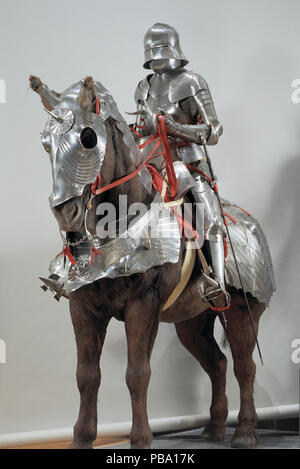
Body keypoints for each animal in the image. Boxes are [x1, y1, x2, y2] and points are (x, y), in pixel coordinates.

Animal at [29, 75, 276, 448]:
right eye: (46, 143)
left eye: (88, 138)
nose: (66, 213)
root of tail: (250, 222)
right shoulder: (83, 308)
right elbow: (86, 375)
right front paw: (81, 439)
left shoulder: (142, 306)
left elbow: (137, 373)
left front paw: (141, 439)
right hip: (191, 322)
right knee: (217, 363)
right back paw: (214, 427)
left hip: (242, 311)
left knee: (244, 365)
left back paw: (245, 431)